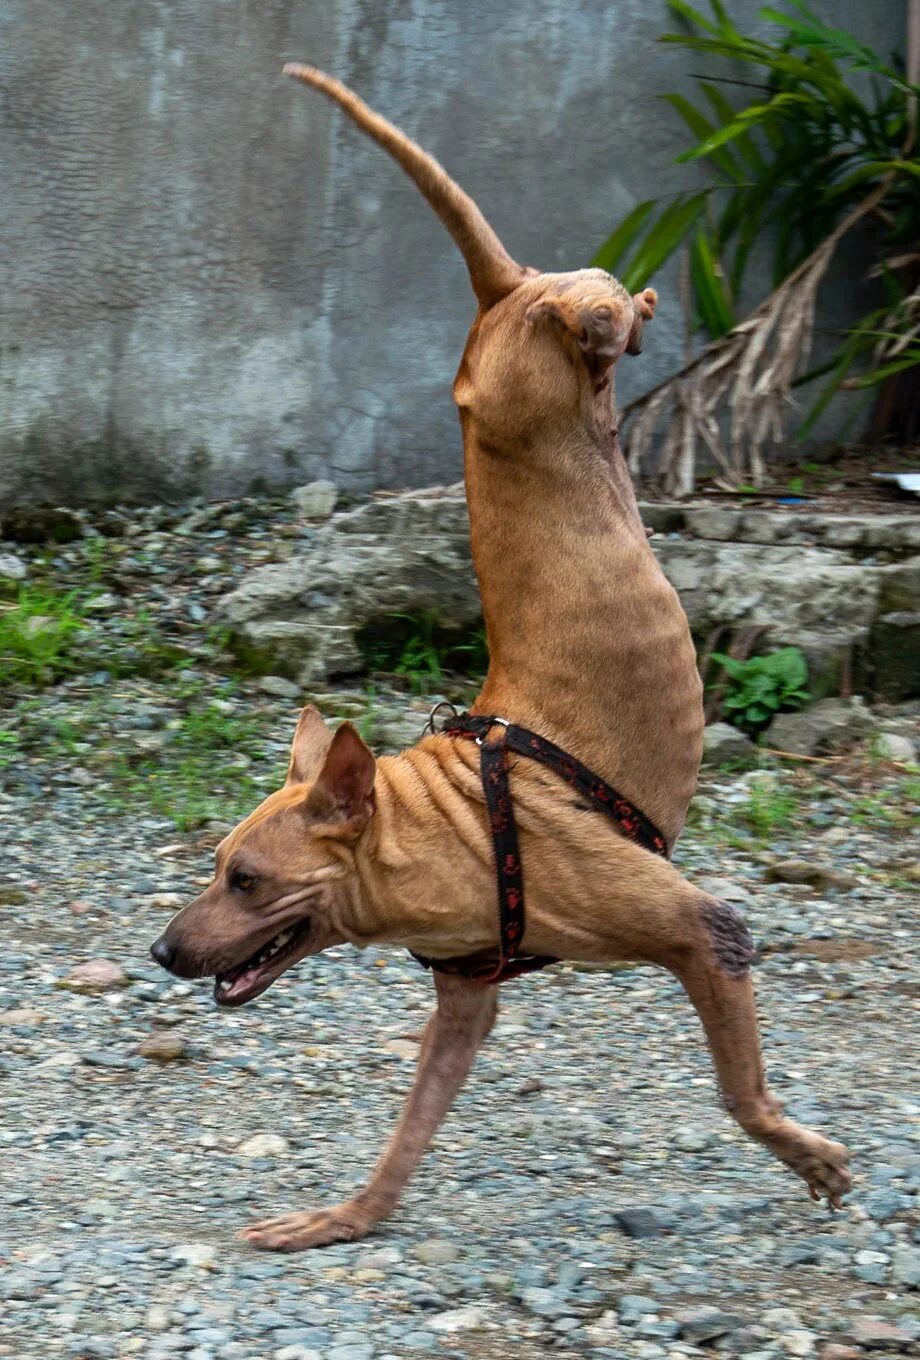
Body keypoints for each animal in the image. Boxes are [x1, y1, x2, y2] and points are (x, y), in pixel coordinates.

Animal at [149, 69, 849, 1245]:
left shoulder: (704, 928)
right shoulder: (463, 1004)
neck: (449, 833)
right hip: (522, 370)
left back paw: (629, 309)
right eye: (213, 868)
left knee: (597, 303)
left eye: (246, 880)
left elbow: (737, 1088)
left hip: (559, 333)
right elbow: (405, 1137)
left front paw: (804, 1153)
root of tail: (502, 293)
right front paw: (343, 1218)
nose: (161, 951)